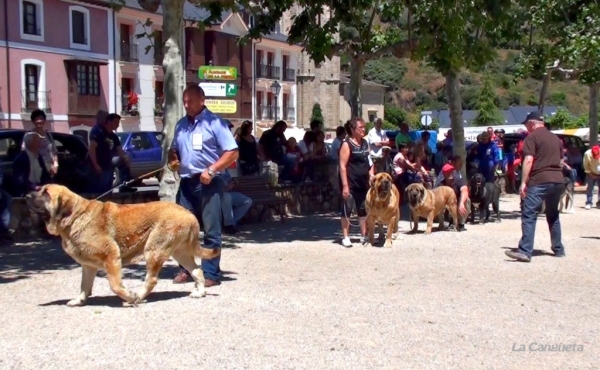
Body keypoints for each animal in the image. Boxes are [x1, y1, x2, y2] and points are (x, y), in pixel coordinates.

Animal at [26, 184, 206, 306]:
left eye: (46, 193)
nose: (26, 196)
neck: (75, 216)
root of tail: (189, 214)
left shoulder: (111, 255)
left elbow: (114, 284)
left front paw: (129, 296)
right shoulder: (88, 265)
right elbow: (84, 285)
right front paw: (79, 300)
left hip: (153, 250)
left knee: (152, 279)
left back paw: (138, 297)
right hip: (179, 252)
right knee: (197, 270)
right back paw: (200, 292)